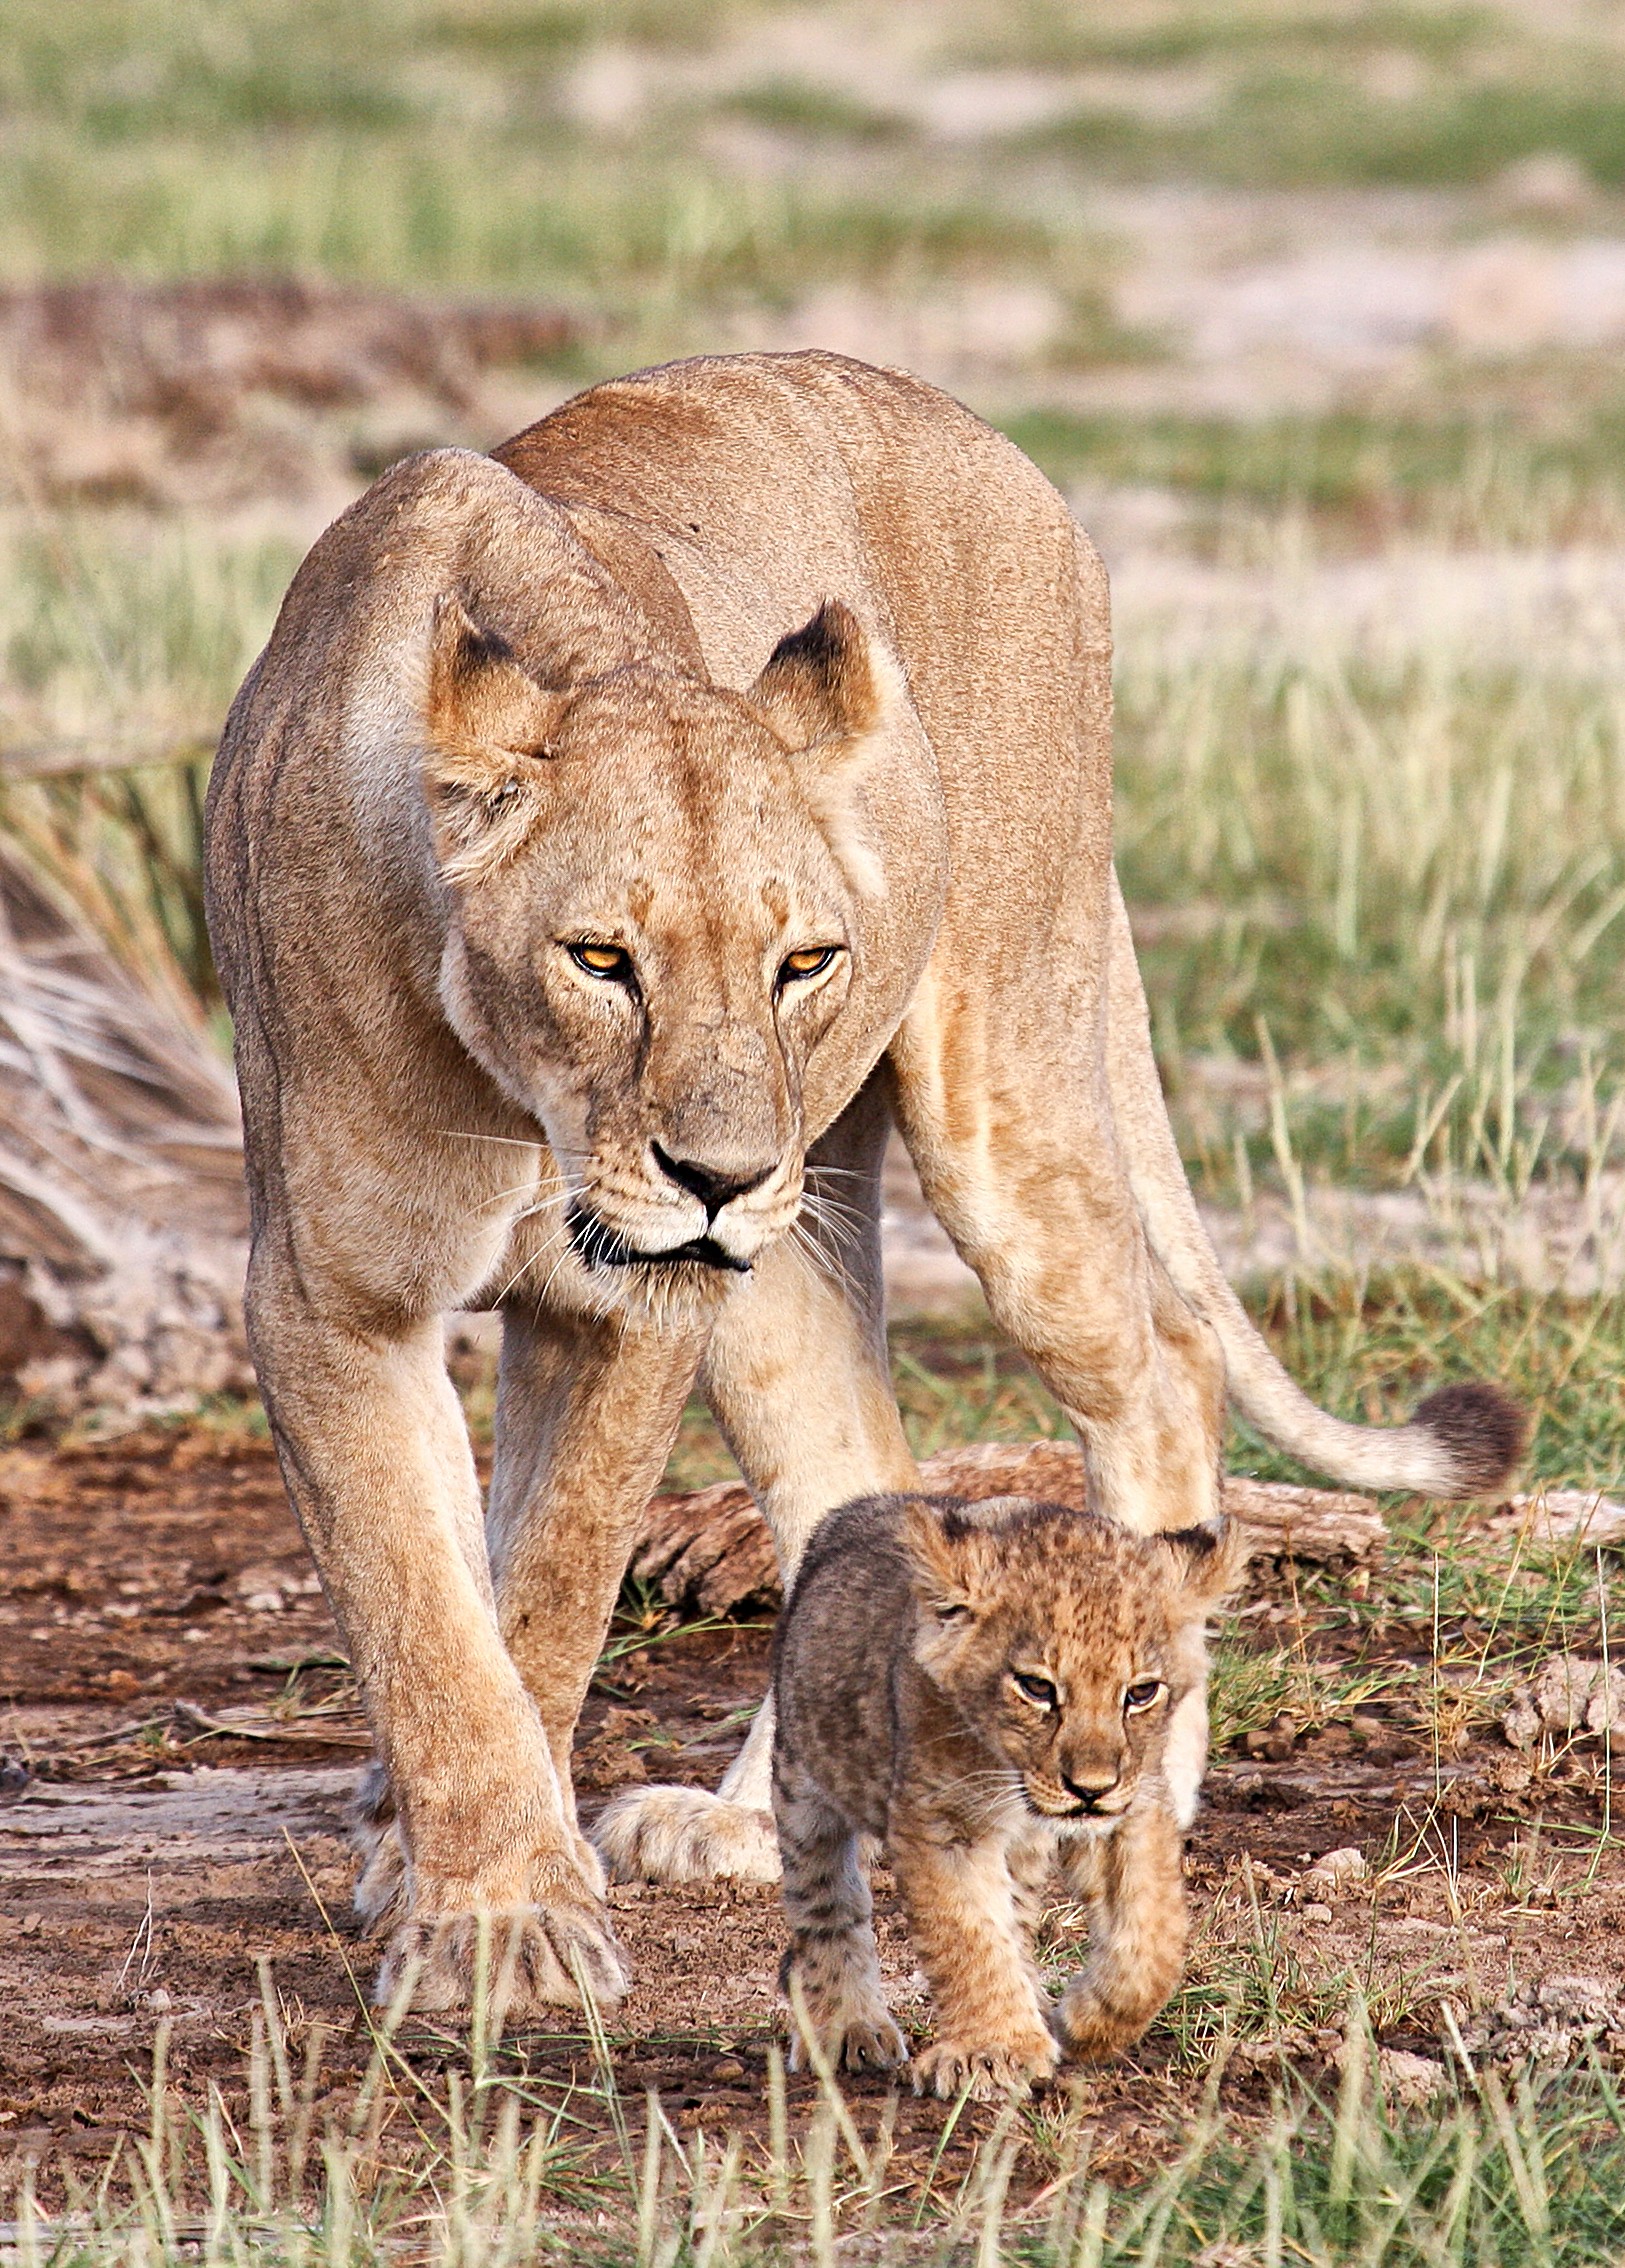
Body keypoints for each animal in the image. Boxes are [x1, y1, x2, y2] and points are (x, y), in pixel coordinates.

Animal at [203, 349, 1522, 2013]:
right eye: (601, 958)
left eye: (804, 960)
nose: (715, 1173)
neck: (526, 1103)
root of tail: (981, 433)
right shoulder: (335, 1295)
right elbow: (431, 1614)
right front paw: (471, 1887)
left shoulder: (624, 1306)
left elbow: (546, 1594)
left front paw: (498, 1919)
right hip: (787, 1250)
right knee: (858, 1472)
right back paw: (768, 1818)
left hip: (996, 1084)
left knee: (1161, 1362)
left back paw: (1119, 1802)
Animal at [772, 1490, 1242, 2098]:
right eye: (1037, 1687)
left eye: (1140, 1693)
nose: (1090, 1790)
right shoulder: (941, 1822)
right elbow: (967, 1934)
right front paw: (991, 2051)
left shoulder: (1133, 1808)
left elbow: (1152, 1937)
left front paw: (1086, 2023)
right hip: (803, 1778)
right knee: (826, 1903)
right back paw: (846, 2026)